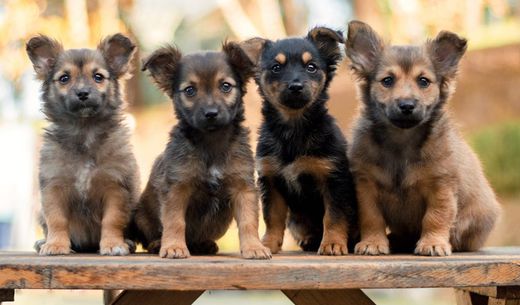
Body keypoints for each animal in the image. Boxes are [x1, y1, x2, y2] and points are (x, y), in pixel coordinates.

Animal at [25, 33, 140, 254]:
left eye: (98, 77)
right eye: (64, 78)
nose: (83, 93)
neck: (84, 130)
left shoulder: (115, 187)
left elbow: (112, 220)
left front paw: (113, 245)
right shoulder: (54, 187)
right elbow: (56, 220)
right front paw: (55, 245)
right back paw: (43, 242)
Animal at [134, 41, 272, 258]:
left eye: (225, 86)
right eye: (190, 90)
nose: (211, 113)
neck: (211, 141)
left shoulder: (243, 187)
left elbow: (249, 221)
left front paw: (254, 247)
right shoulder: (177, 187)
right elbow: (175, 221)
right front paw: (173, 246)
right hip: (141, 215)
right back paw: (158, 244)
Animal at [242, 27, 360, 254]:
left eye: (311, 67)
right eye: (276, 68)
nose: (295, 86)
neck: (293, 128)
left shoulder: (334, 179)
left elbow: (333, 216)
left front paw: (332, 243)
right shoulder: (271, 181)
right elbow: (273, 217)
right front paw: (268, 244)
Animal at [346, 20, 500, 255]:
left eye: (424, 81)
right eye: (387, 81)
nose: (407, 105)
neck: (401, 140)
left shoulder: (441, 186)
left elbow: (435, 217)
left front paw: (433, 243)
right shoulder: (366, 186)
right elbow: (371, 217)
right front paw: (372, 242)